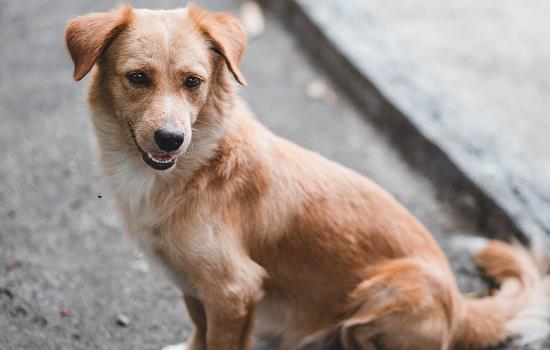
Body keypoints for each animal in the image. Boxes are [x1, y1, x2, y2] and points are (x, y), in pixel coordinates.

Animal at [66, 3, 550, 350]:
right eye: (138, 78)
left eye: (192, 82)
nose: (170, 139)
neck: (198, 165)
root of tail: (459, 305)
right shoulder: (194, 285)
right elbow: (199, 332)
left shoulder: (233, 289)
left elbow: (217, 340)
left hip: (384, 296)